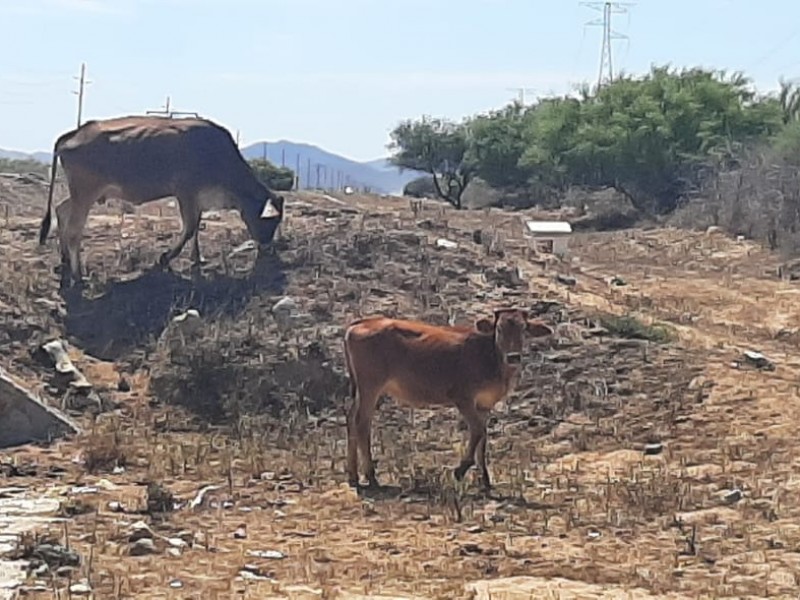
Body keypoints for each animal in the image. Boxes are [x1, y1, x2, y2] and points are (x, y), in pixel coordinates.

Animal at [39, 117, 288, 288]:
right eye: (269, 221)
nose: (267, 248)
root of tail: (74, 133)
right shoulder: (186, 193)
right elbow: (190, 228)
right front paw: (166, 257)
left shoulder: (197, 198)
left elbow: (196, 229)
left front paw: (197, 259)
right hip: (85, 193)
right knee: (74, 230)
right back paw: (78, 274)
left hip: (79, 195)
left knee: (61, 210)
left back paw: (64, 259)